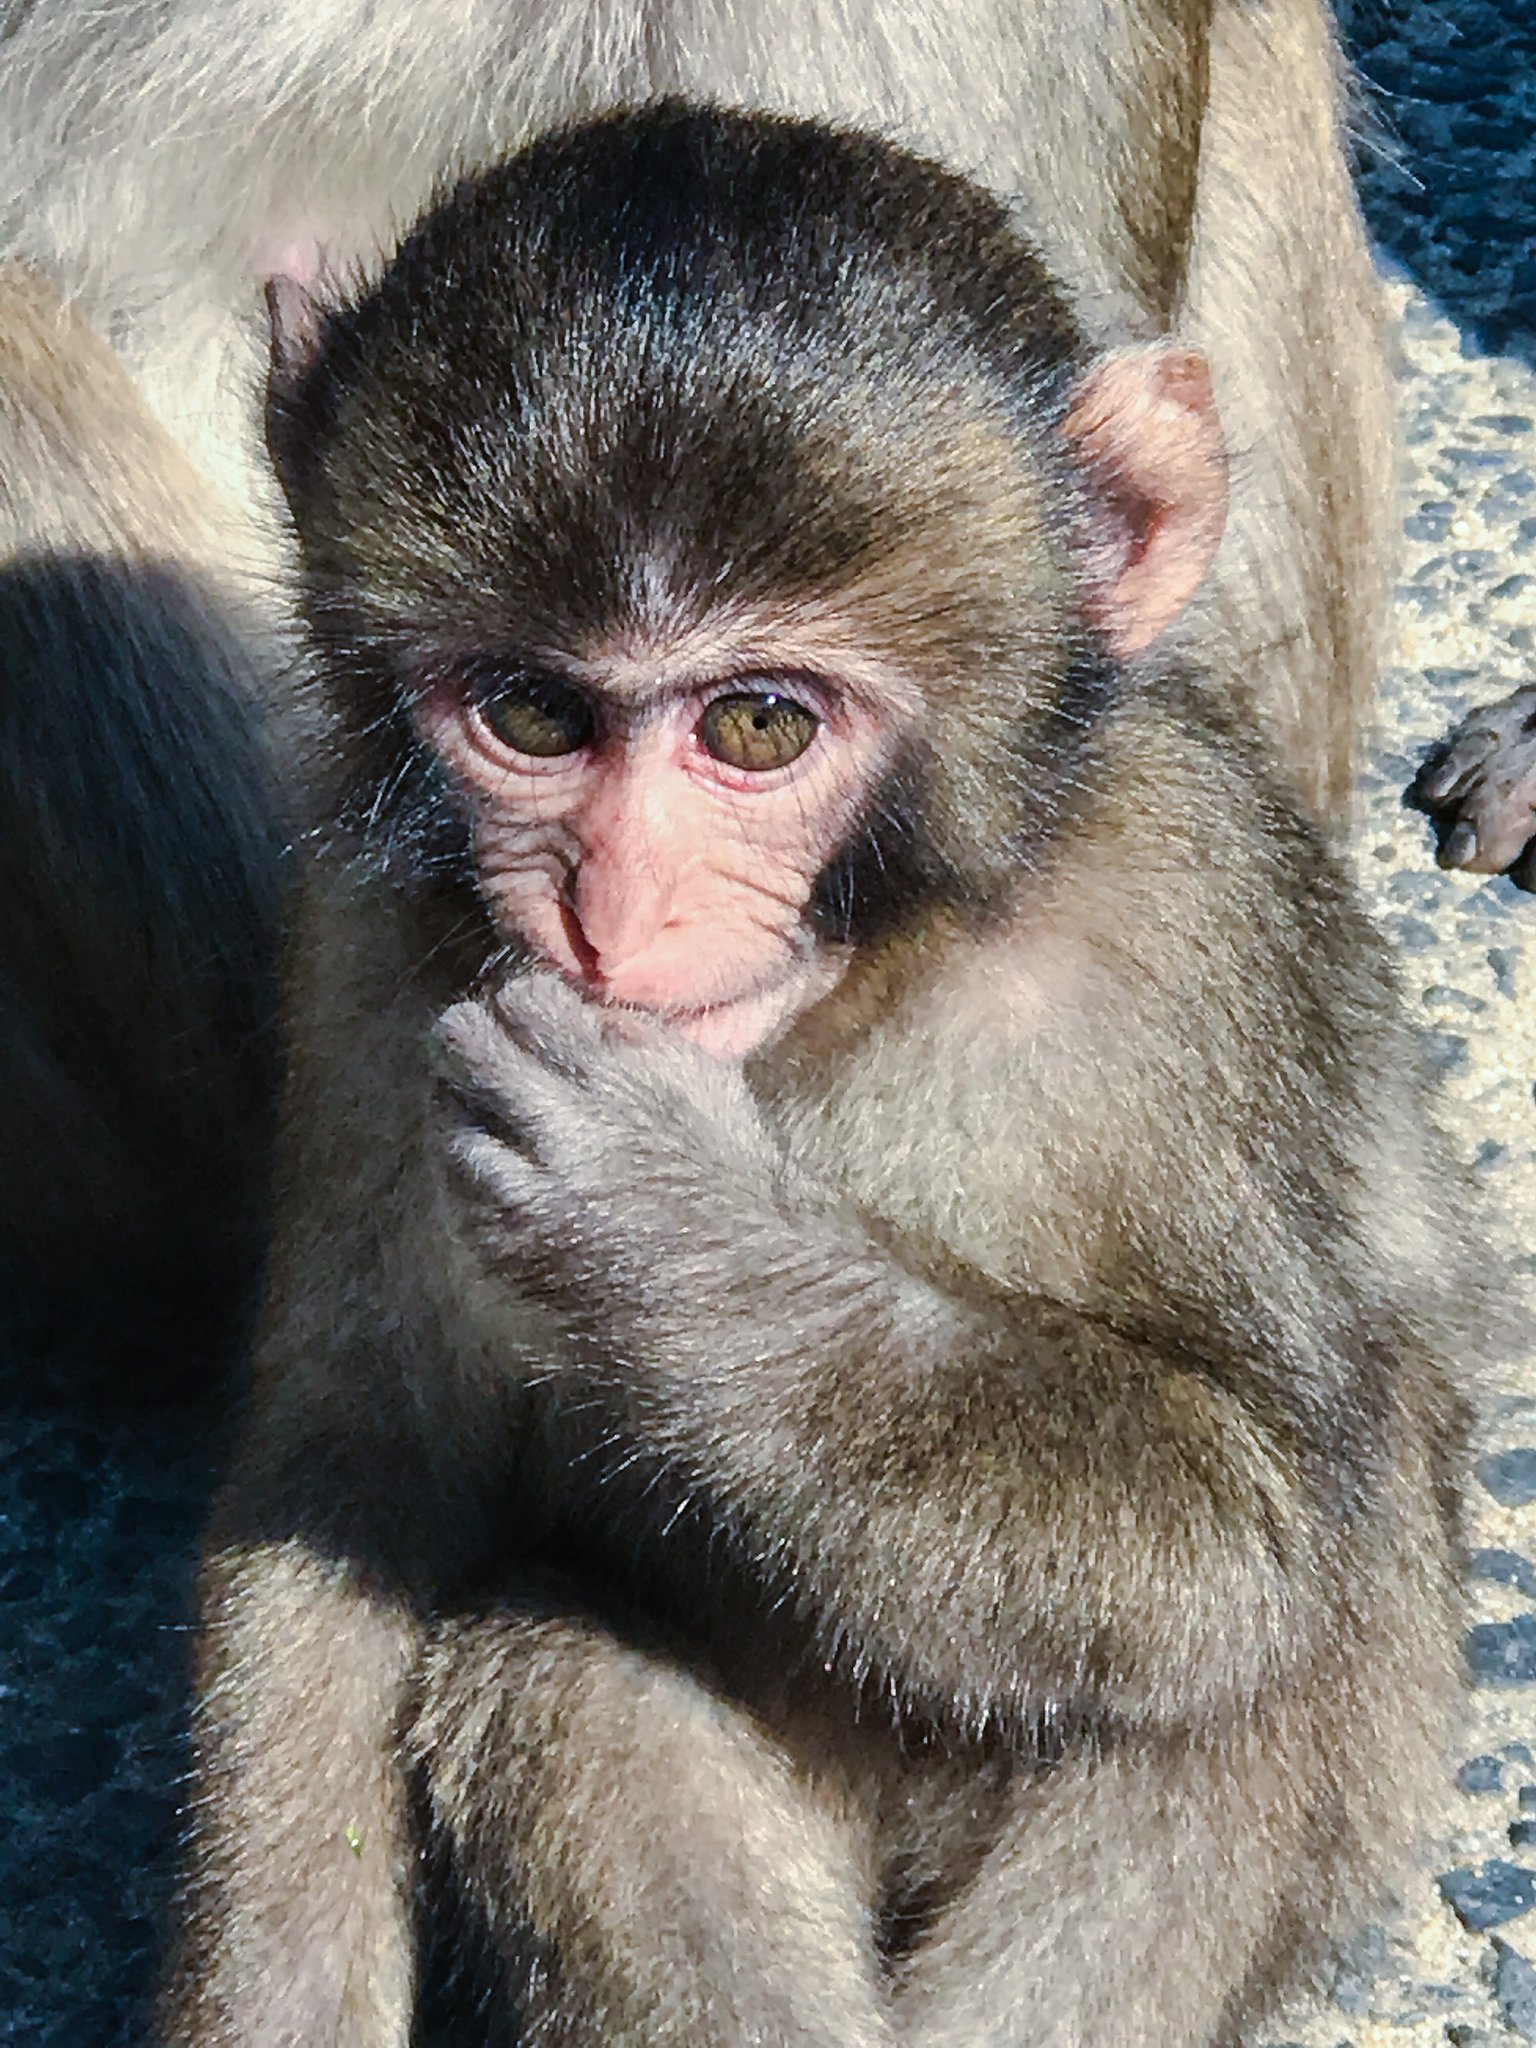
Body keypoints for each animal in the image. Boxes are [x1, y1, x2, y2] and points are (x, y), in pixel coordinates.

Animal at [163, 103, 1481, 2048]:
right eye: (535, 717)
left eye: (759, 725)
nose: (616, 912)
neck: (866, 977)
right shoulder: (365, 946)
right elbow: (355, 1472)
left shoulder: (1189, 916)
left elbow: (1241, 1530)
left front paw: (681, 1240)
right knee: (555, 1667)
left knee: (1310, 1585)